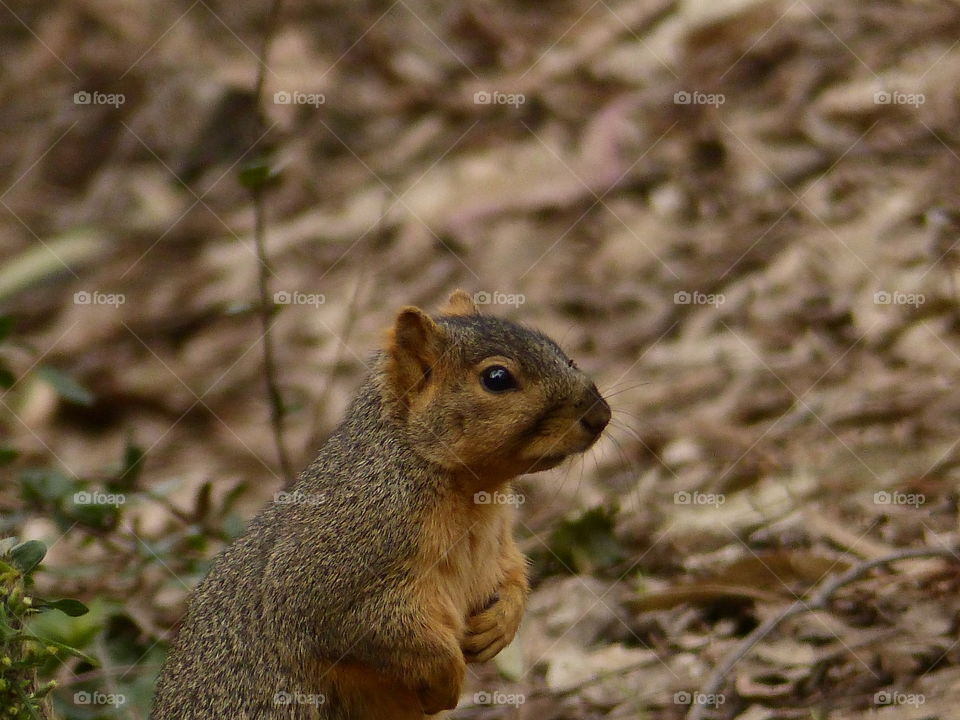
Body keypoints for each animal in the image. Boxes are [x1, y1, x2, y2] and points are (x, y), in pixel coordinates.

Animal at [154, 292, 612, 720]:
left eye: (563, 353)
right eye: (497, 378)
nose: (601, 415)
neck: (469, 492)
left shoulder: (497, 546)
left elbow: (513, 575)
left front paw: (500, 624)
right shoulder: (331, 570)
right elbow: (379, 631)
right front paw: (446, 678)